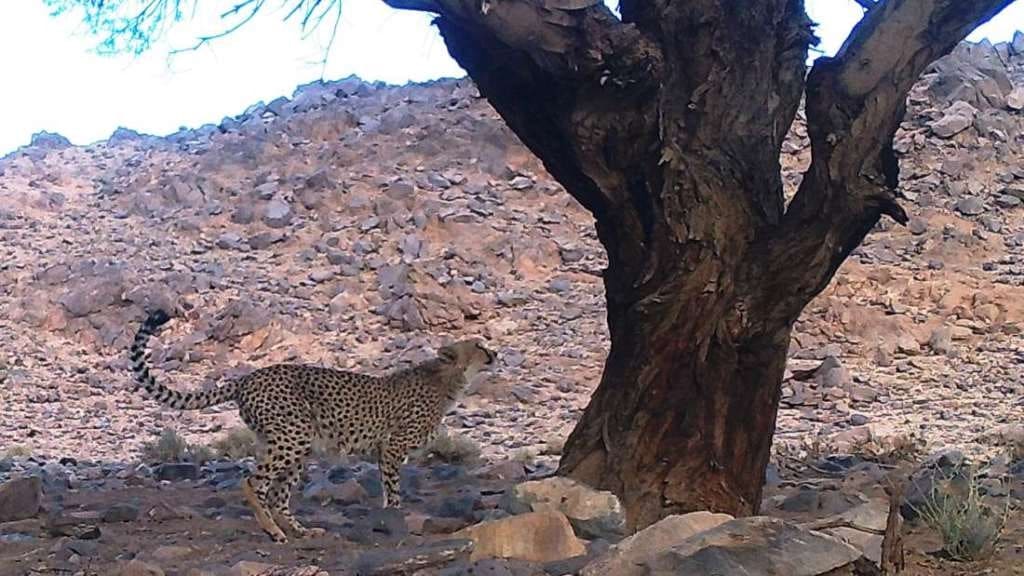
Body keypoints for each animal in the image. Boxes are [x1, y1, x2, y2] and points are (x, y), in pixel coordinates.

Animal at [128, 308, 496, 543]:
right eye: (479, 345)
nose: (494, 353)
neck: (448, 379)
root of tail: (247, 377)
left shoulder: (384, 450)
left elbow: (386, 486)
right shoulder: (392, 448)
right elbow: (392, 489)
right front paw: (395, 516)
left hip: (293, 444)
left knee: (278, 494)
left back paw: (300, 531)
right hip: (292, 437)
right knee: (254, 482)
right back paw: (274, 532)